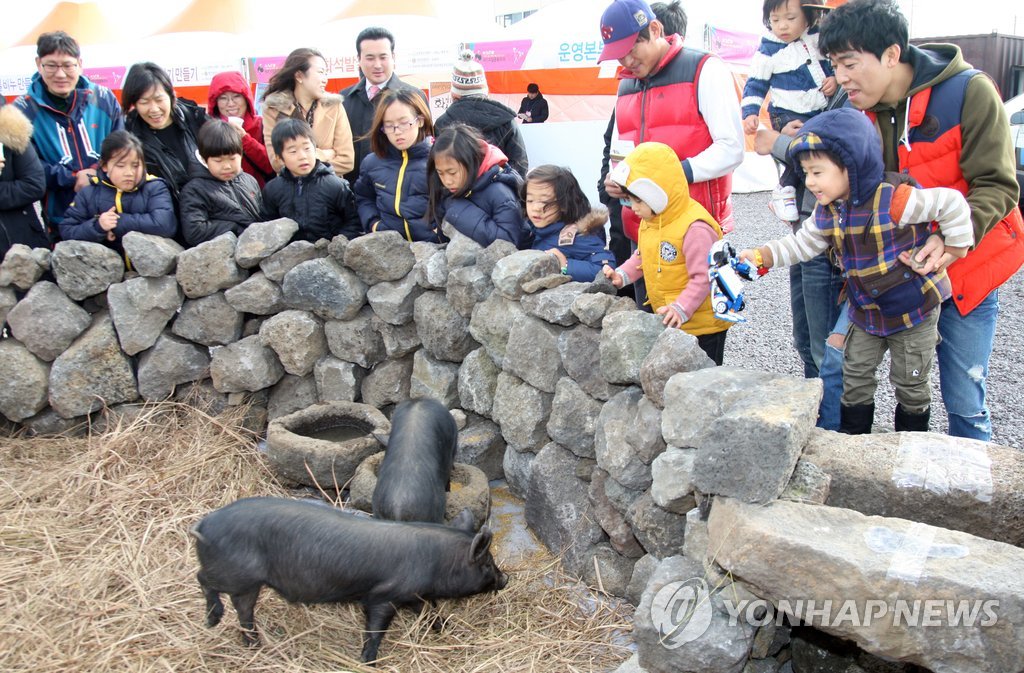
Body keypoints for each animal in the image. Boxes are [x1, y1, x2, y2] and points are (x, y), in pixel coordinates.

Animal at [190, 497, 505, 659]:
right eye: (487, 564)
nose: (506, 580)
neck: (436, 561)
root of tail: (203, 524)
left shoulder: (413, 594)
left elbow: (429, 611)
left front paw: (444, 628)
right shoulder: (382, 596)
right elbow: (376, 629)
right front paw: (367, 661)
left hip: (247, 584)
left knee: (243, 609)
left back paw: (254, 646)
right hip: (235, 574)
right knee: (202, 578)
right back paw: (212, 620)